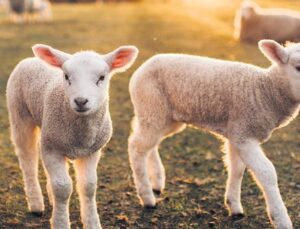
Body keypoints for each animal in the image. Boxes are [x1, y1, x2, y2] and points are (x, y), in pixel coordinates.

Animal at [6, 43, 138, 228]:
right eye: (66, 76)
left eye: (101, 77)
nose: (81, 101)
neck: (80, 137)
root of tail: (30, 59)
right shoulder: (53, 148)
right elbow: (62, 188)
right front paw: (60, 222)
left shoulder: (91, 151)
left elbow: (88, 186)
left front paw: (92, 222)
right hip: (20, 115)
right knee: (28, 160)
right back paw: (36, 204)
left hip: (46, 131)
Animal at [128, 39, 300, 229]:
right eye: (298, 67)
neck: (265, 91)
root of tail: (145, 64)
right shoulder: (244, 135)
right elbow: (267, 172)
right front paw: (281, 219)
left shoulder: (237, 132)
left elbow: (237, 169)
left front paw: (234, 206)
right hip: (152, 106)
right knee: (136, 147)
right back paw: (147, 197)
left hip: (165, 117)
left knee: (149, 143)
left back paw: (157, 182)